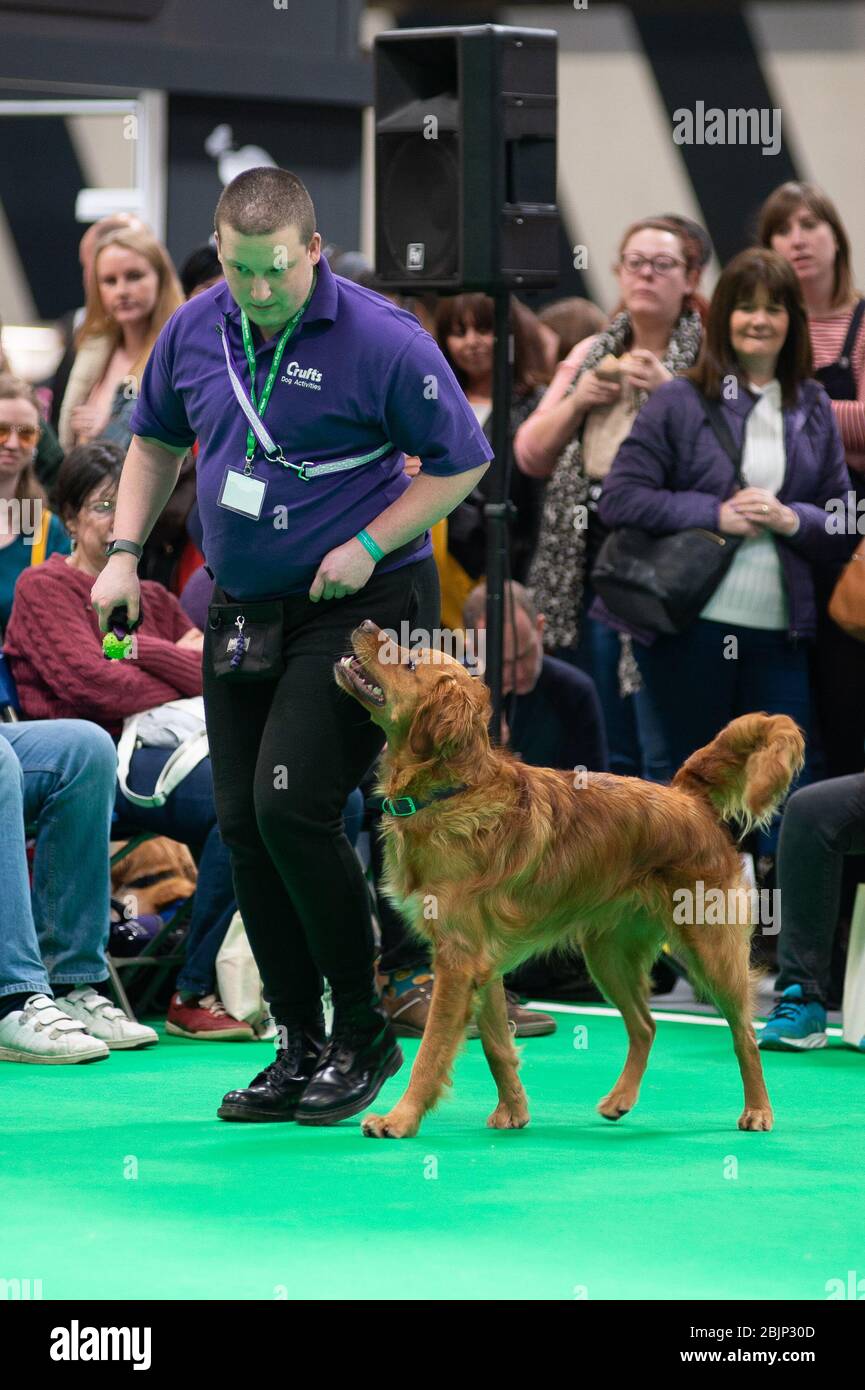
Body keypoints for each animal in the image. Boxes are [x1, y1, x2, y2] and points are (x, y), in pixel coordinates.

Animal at [333, 622, 806, 1139]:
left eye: (410, 659)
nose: (364, 625)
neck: (450, 791)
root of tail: (687, 798)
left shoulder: (457, 961)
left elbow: (431, 1051)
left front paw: (400, 1119)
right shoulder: (483, 964)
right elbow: (496, 1044)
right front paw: (513, 1110)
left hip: (710, 950)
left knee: (744, 1033)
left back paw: (758, 1110)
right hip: (609, 955)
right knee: (645, 1026)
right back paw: (620, 1100)